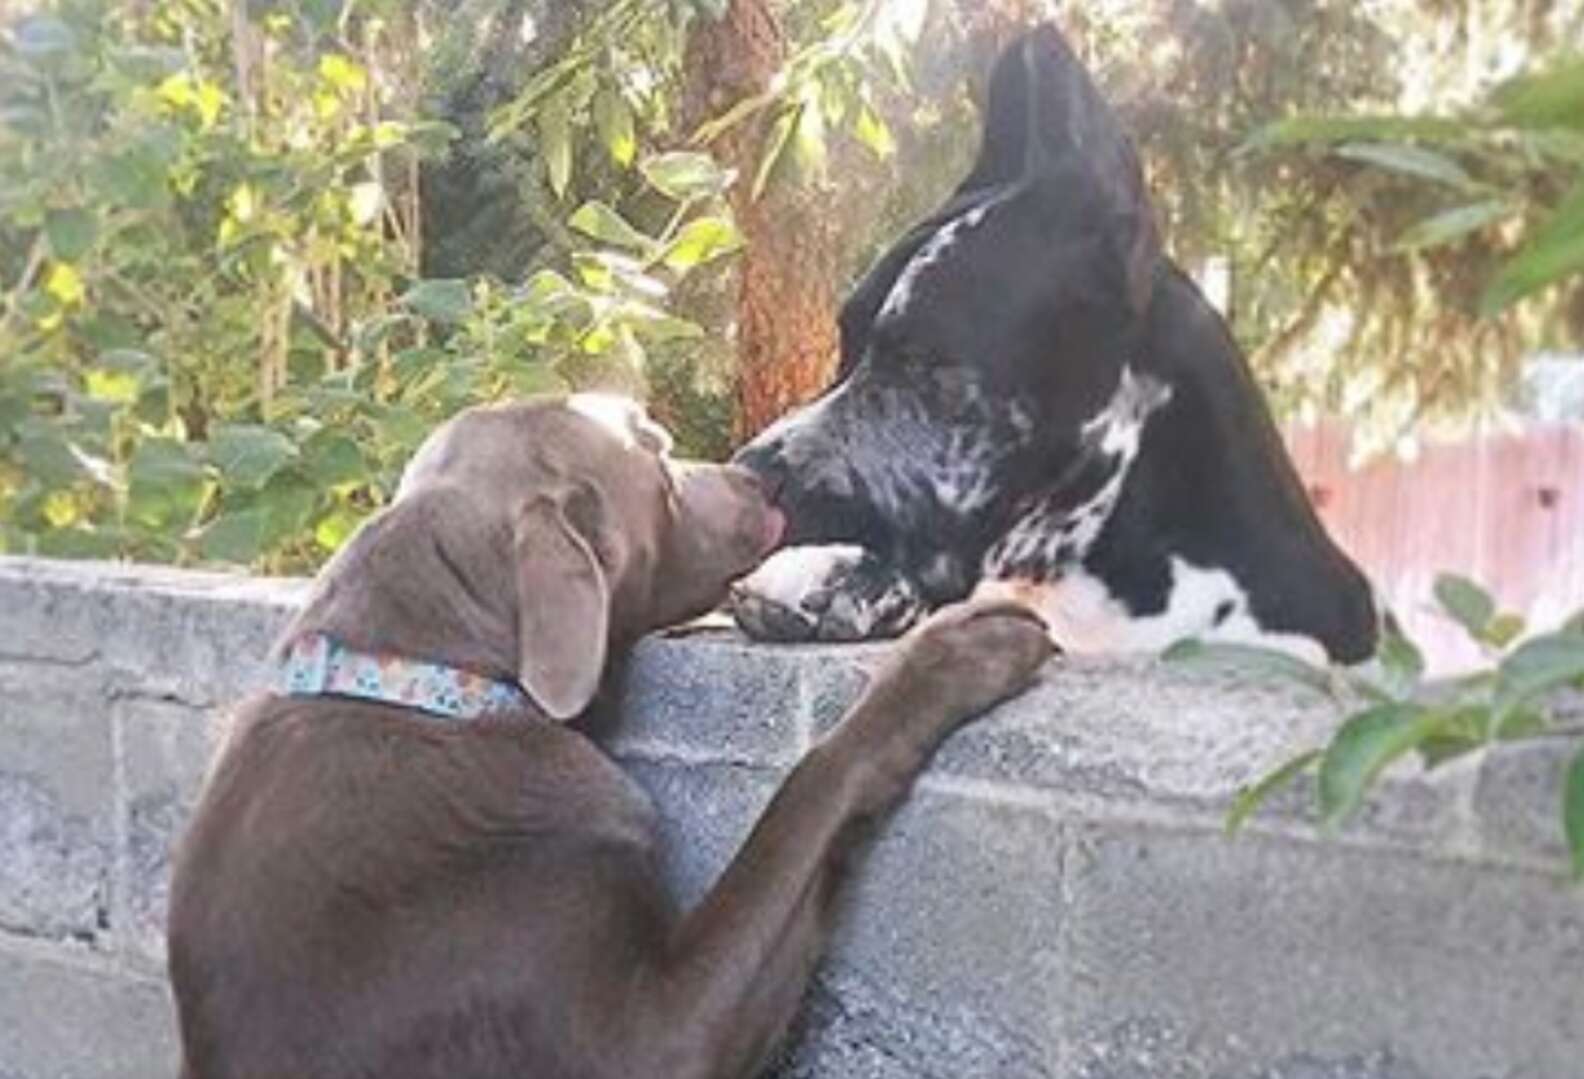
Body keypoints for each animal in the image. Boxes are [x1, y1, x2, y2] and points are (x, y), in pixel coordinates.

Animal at [167, 396, 1051, 1077]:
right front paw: (956, 653)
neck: (433, 679)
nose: (756, 471)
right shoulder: (652, 1037)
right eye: (656, 453)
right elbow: (809, 788)